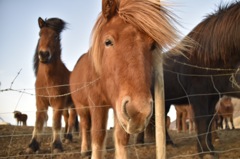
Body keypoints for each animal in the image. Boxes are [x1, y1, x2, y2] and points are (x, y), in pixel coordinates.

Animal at [26, 17, 77, 153]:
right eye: (40, 34)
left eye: (55, 36)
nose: (44, 54)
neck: (48, 80)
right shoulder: (40, 102)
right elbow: (38, 122)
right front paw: (32, 145)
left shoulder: (58, 103)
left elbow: (56, 123)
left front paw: (57, 146)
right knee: (67, 119)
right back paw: (66, 137)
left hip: (73, 105)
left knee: (71, 119)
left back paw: (68, 138)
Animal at [163, 1, 240, 158]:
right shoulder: (199, 96)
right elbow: (203, 120)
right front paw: (205, 152)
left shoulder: (212, 97)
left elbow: (209, 120)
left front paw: (209, 148)